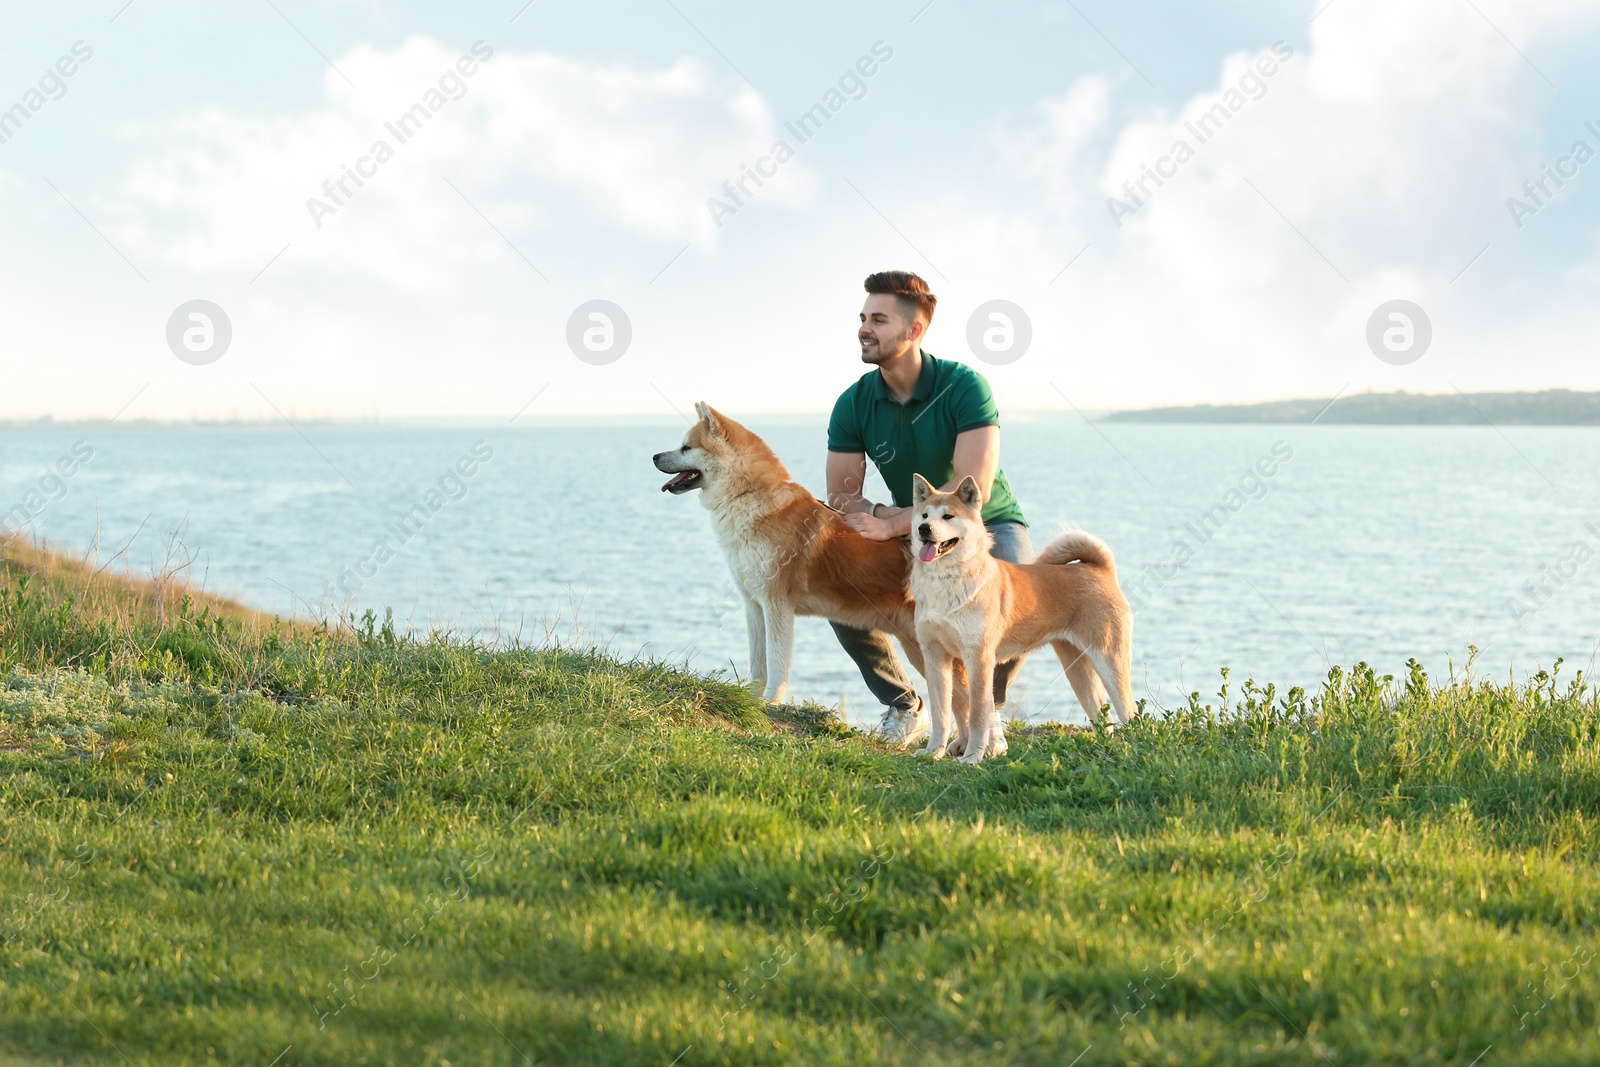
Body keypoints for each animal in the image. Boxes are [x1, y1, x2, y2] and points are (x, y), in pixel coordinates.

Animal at [649, 404, 985, 739]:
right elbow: (758, 663)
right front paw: (751, 698)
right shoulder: (753, 606)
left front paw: (770, 702)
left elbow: (776, 664)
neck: (750, 498)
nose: (654, 456)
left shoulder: (777, 606)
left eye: (686, 447)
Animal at [908, 470, 1132, 764]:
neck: (945, 583)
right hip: (1078, 669)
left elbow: (978, 715)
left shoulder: (978, 659)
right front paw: (933, 751)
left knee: (1130, 712)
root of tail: (1100, 569)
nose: (924, 529)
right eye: (924, 515)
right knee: (1102, 717)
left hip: (1109, 660)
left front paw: (973, 757)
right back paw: (1102, 750)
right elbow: (940, 714)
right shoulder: (935, 657)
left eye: (948, 516)